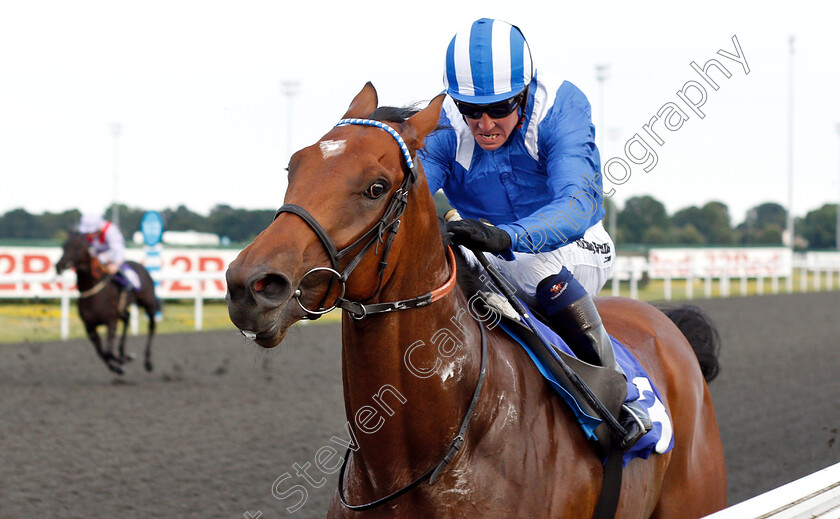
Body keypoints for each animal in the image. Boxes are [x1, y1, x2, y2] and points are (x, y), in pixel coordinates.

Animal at [56, 234, 158, 376]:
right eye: (63, 246)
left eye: (77, 247)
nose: (59, 265)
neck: (93, 292)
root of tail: (141, 266)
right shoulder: (89, 326)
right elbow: (102, 353)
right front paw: (119, 364)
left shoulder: (111, 321)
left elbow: (109, 352)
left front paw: (124, 360)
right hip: (122, 310)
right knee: (127, 318)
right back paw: (122, 353)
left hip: (149, 303)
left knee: (152, 326)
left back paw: (147, 361)